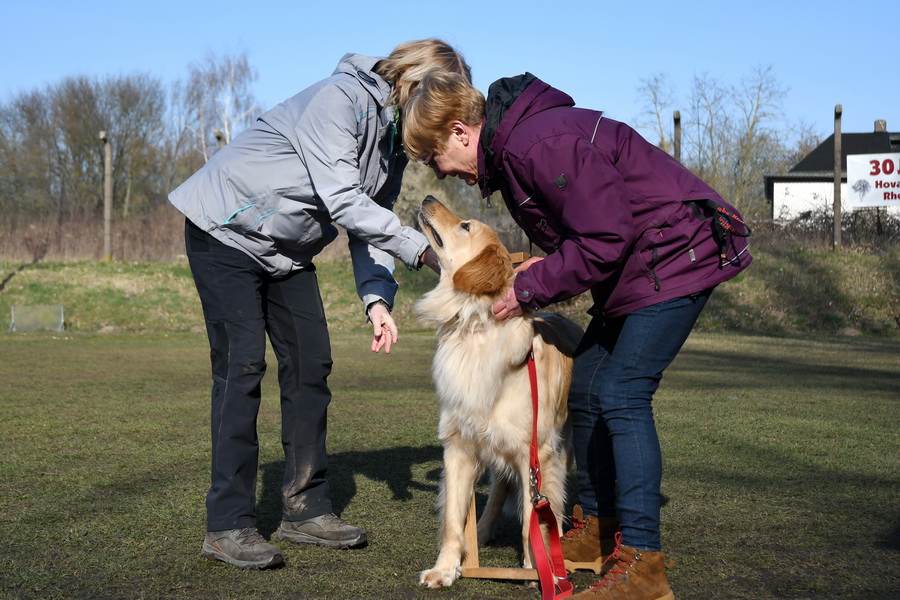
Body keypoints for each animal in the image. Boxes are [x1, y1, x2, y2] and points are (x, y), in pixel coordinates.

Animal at [414, 198, 584, 592]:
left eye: (465, 226)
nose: (428, 199)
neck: (473, 327)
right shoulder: (459, 446)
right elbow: (452, 520)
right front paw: (446, 569)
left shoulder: (534, 452)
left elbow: (530, 521)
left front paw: (536, 570)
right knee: (497, 494)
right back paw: (483, 531)